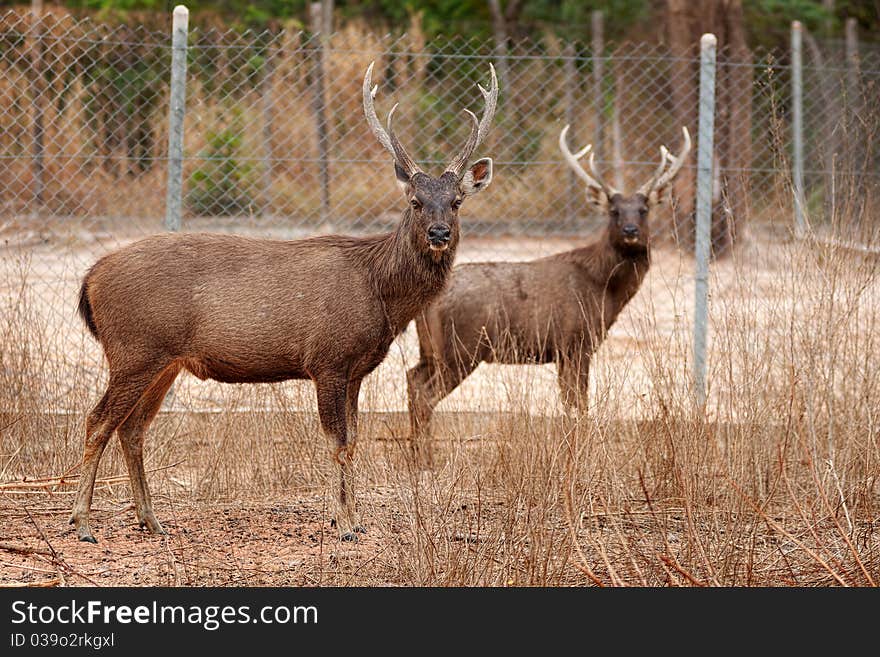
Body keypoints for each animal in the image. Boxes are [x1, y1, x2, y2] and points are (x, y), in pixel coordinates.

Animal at [72, 62, 498, 544]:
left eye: (457, 201)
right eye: (415, 201)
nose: (439, 233)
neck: (380, 292)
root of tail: (91, 279)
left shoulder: (355, 369)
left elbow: (354, 439)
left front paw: (354, 519)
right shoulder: (327, 359)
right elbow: (336, 441)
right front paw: (343, 524)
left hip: (164, 360)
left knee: (132, 427)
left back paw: (151, 519)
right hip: (135, 349)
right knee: (98, 420)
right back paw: (83, 522)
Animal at [410, 123, 692, 456]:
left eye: (644, 208)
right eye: (613, 210)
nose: (631, 231)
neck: (604, 291)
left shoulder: (565, 349)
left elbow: (571, 403)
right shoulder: (576, 342)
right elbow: (579, 404)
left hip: (432, 350)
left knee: (412, 379)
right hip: (461, 349)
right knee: (425, 396)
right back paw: (425, 456)